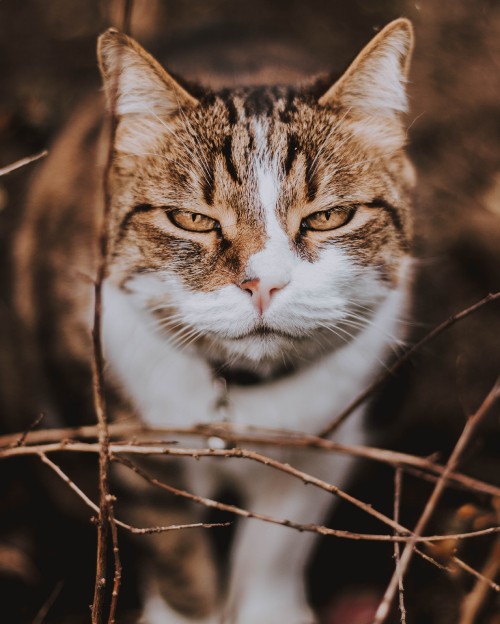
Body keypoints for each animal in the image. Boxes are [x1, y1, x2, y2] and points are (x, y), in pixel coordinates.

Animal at [14, 17, 414, 620]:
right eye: (192, 220)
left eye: (329, 217)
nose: (262, 284)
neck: (240, 394)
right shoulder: (130, 444)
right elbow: (176, 550)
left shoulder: (329, 442)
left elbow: (278, 544)